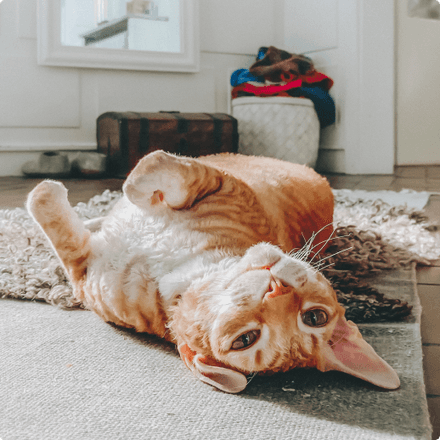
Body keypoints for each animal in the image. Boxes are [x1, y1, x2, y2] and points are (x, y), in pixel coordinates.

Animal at [25, 150, 400, 392]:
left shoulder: (82, 272)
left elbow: (53, 213)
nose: (275, 290)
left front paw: (48, 191)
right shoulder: (220, 182)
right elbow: (153, 169)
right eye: (316, 316)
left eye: (245, 340)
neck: (180, 270)